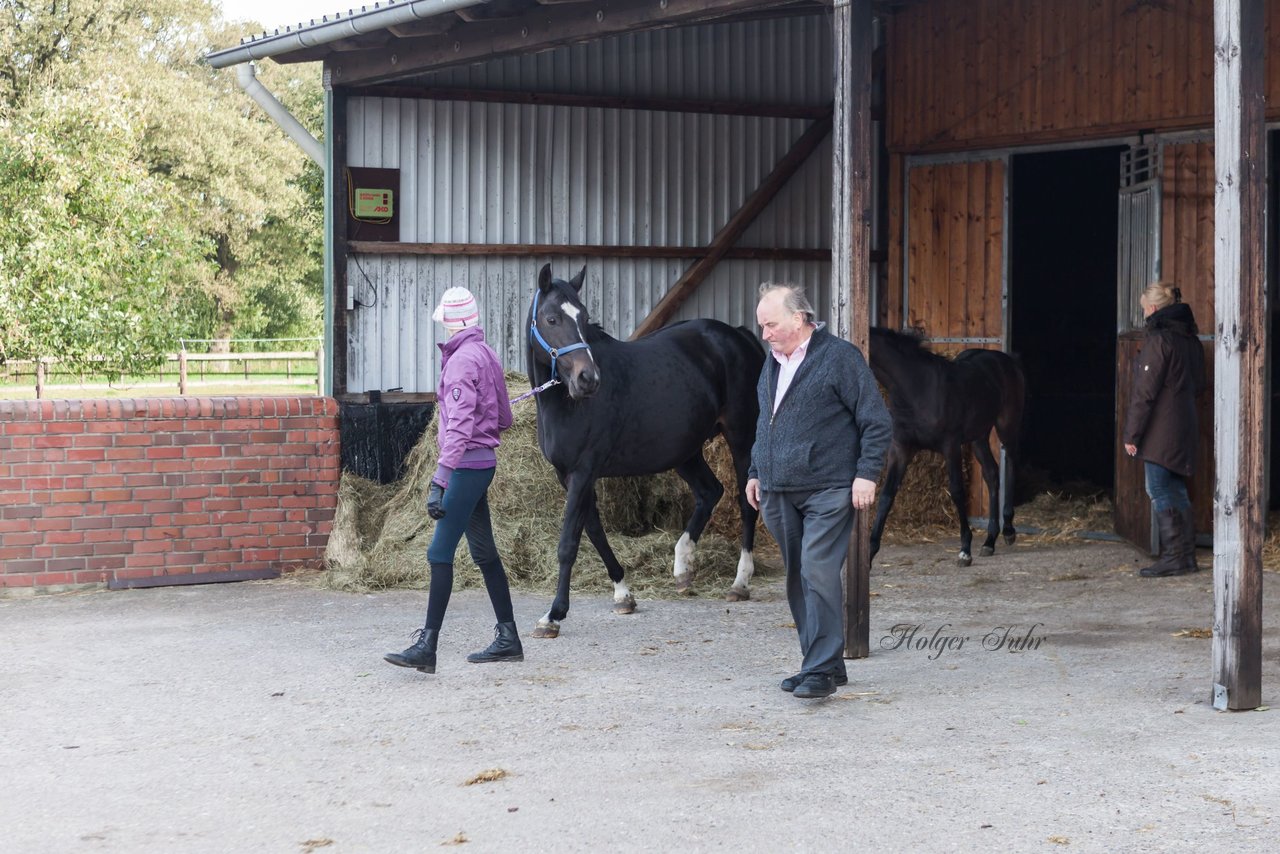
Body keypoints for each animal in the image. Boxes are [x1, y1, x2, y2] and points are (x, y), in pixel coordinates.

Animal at [524, 263, 762, 637]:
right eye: (551, 318)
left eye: (584, 317)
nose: (588, 379)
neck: (563, 404)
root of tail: (739, 336)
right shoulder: (570, 476)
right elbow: (595, 532)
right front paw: (623, 595)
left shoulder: (583, 473)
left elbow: (569, 543)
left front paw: (553, 615)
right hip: (685, 450)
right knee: (710, 491)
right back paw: (682, 568)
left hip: (742, 436)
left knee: (745, 501)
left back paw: (740, 582)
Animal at [865, 330, 1024, 568]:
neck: (918, 388)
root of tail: (1008, 361)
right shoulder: (901, 448)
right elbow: (886, 495)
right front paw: (869, 553)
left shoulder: (950, 446)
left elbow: (957, 491)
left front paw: (965, 550)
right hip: (979, 436)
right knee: (991, 473)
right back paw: (989, 540)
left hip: (1006, 424)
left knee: (1011, 463)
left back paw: (1008, 530)